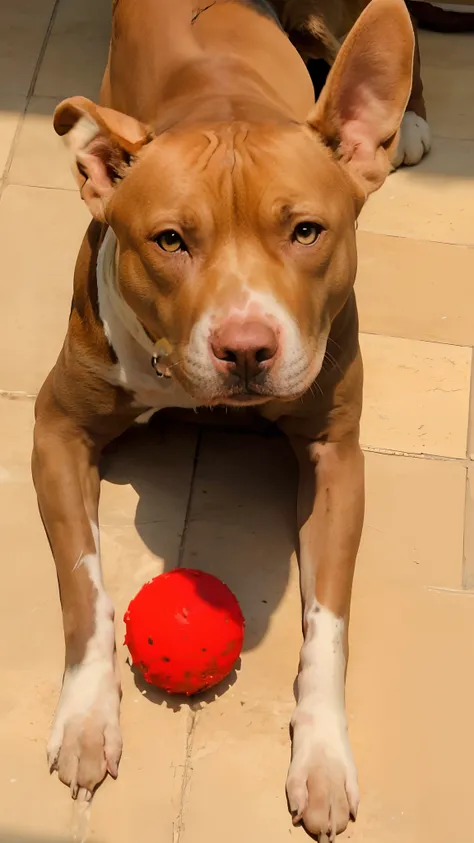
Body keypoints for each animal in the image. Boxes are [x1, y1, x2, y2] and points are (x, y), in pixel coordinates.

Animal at [31, 0, 414, 836]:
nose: (245, 348)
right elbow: (85, 586)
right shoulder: (56, 427)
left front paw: (323, 757)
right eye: (170, 239)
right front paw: (86, 716)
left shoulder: (336, 455)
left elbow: (327, 624)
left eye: (306, 230)